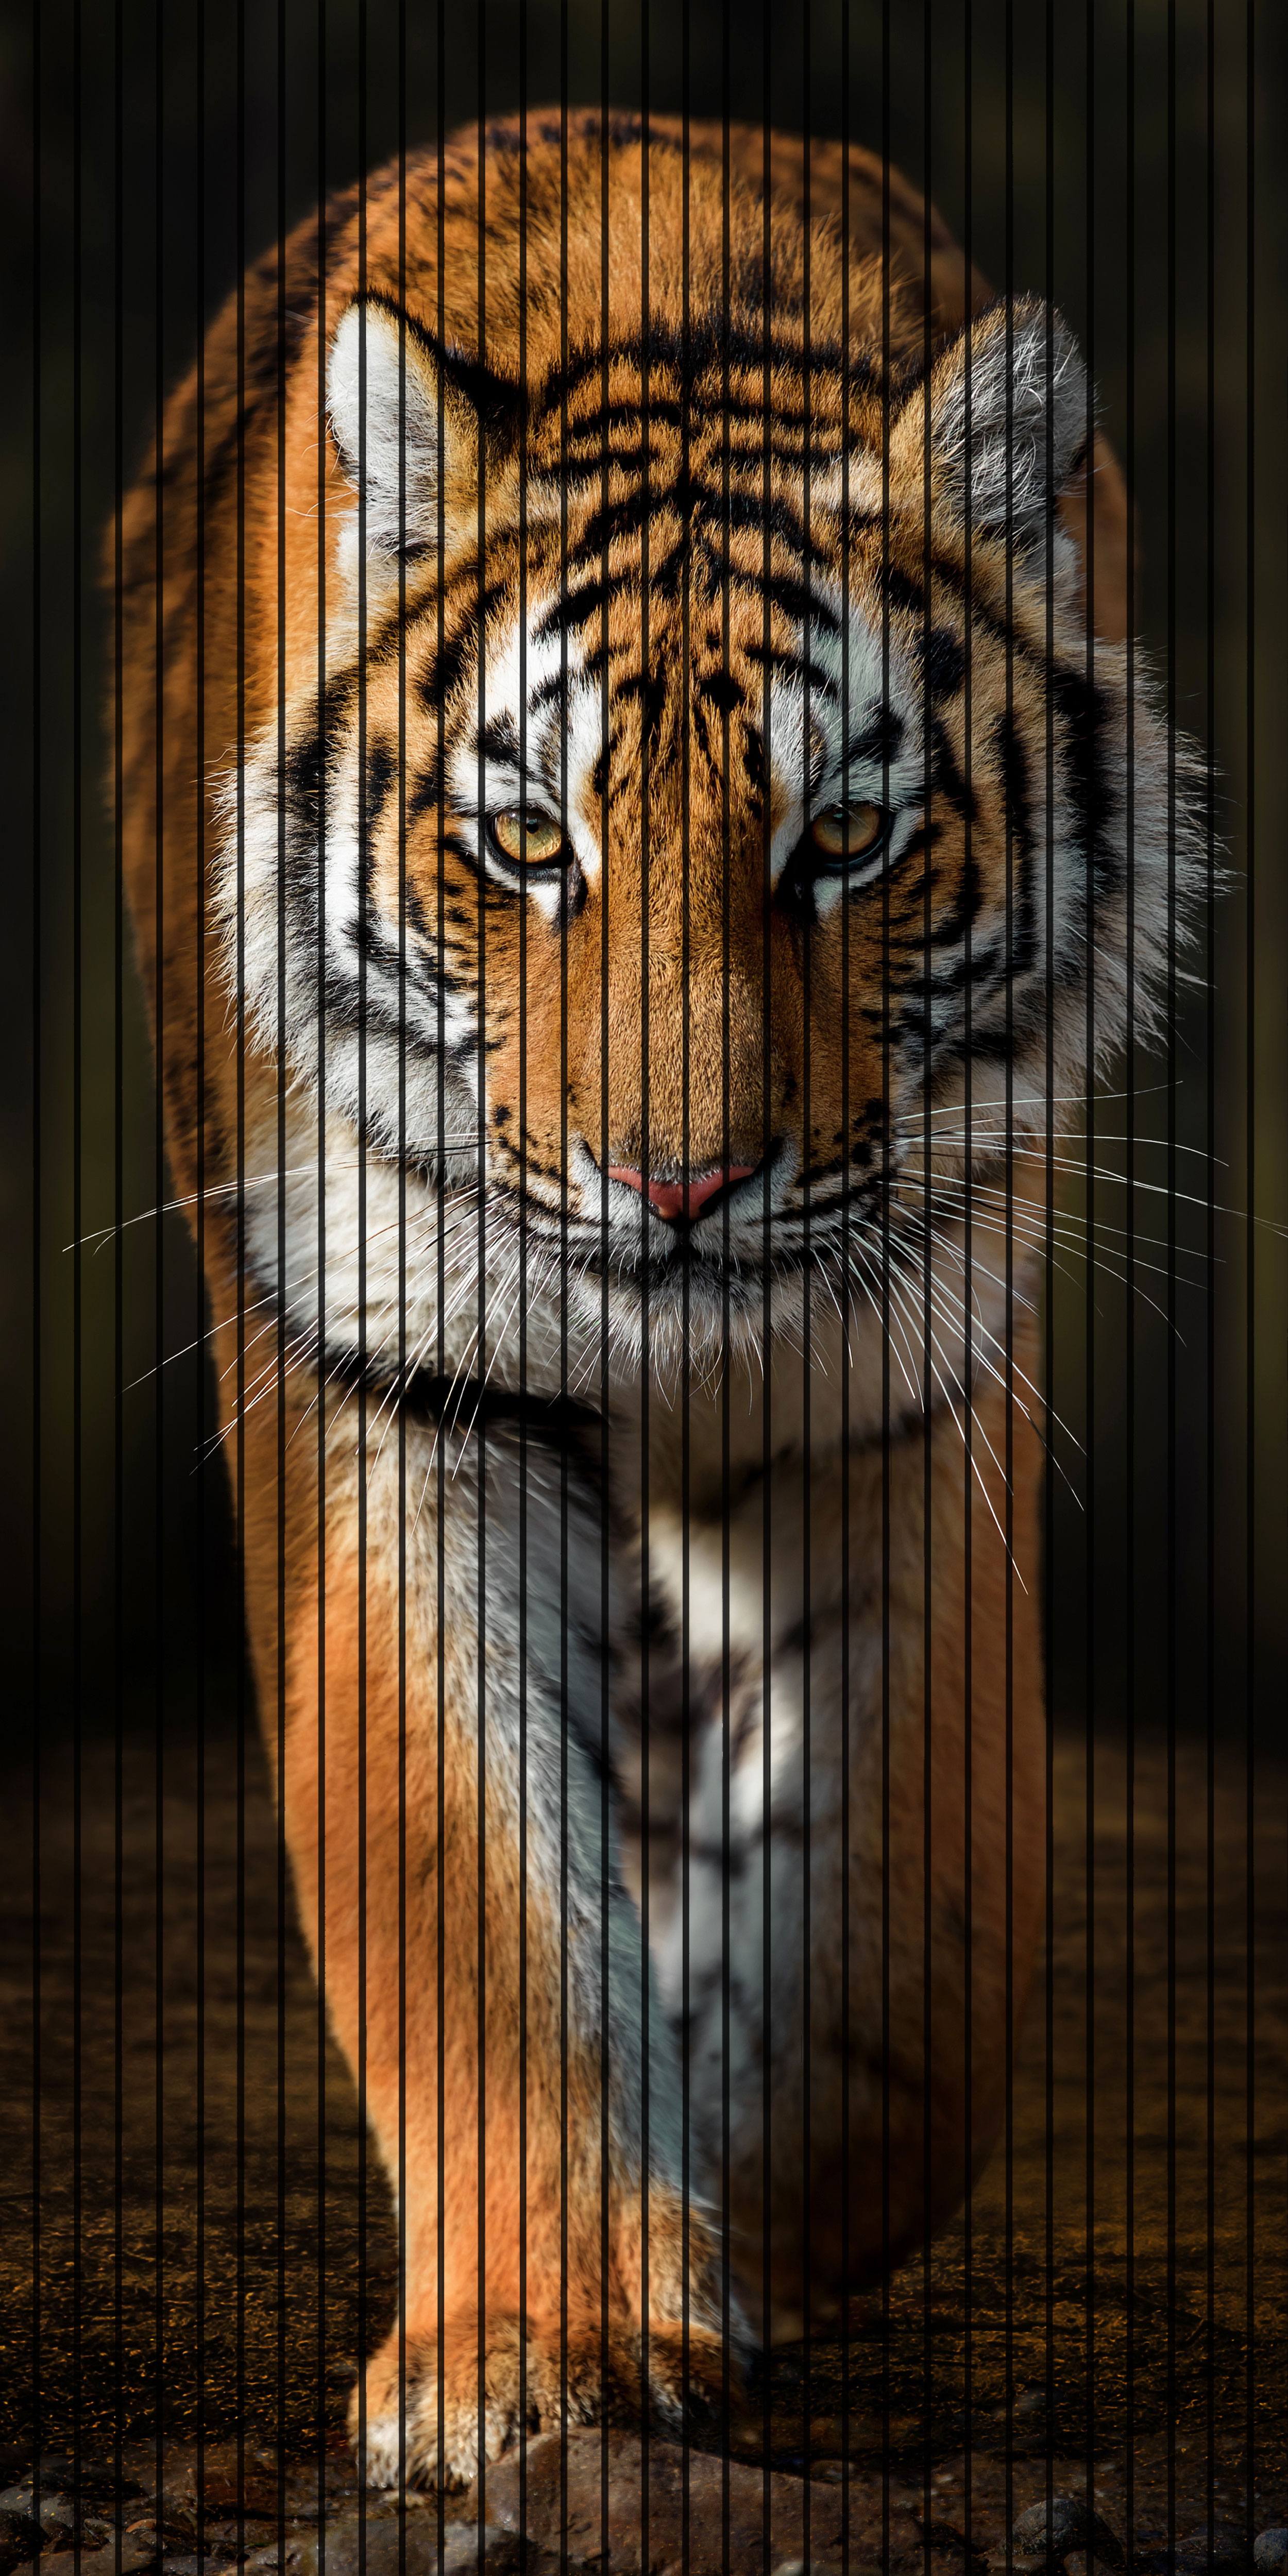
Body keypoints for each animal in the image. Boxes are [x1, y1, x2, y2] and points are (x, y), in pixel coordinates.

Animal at [116, 110, 1202, 2489]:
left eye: (849, 836)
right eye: (528, 843)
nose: (677, 1182)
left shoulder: (909, 1381)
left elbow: (913, 1938)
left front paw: (754, 2226)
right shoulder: (395, 1382)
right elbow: (473, 1893)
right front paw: (548, 2345)